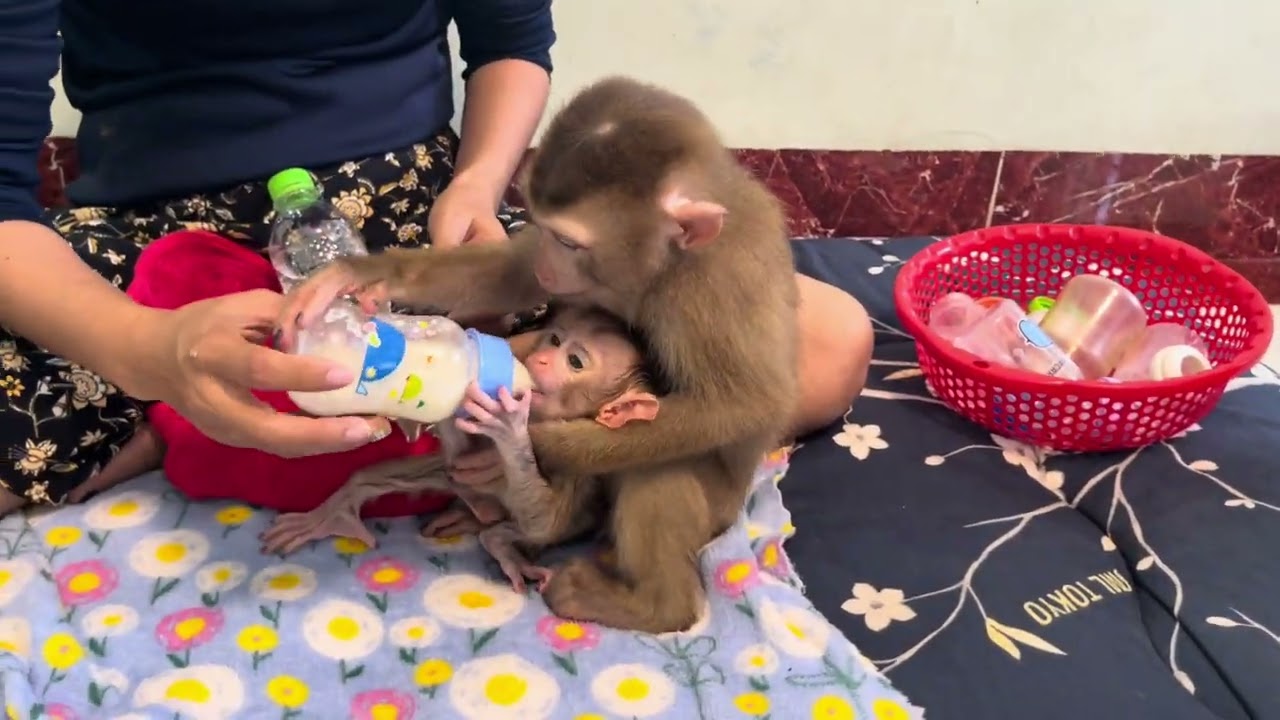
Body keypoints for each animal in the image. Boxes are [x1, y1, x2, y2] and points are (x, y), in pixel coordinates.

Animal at [260, 306, 662, 593]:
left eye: (575, 361)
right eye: (553, 339)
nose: (541, 360)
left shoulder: (577, 463)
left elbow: (549, 521)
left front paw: (508, 427)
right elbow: (455, 452)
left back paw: (496, 537)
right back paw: (339, 512)